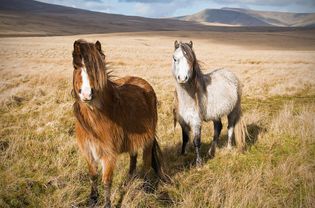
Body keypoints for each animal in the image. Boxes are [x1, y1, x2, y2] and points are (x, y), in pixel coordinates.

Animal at [71, 39, 165, 208]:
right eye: (76, 67)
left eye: (97, 68)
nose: (87, 94)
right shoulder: (88, 152)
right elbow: (93, 176)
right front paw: (92, 199)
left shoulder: (108, 155)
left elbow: (107, 181)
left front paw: (107, 204)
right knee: (133, 159)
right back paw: (129, 181)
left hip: (147, 141)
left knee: (146, 162)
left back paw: (146, 188)